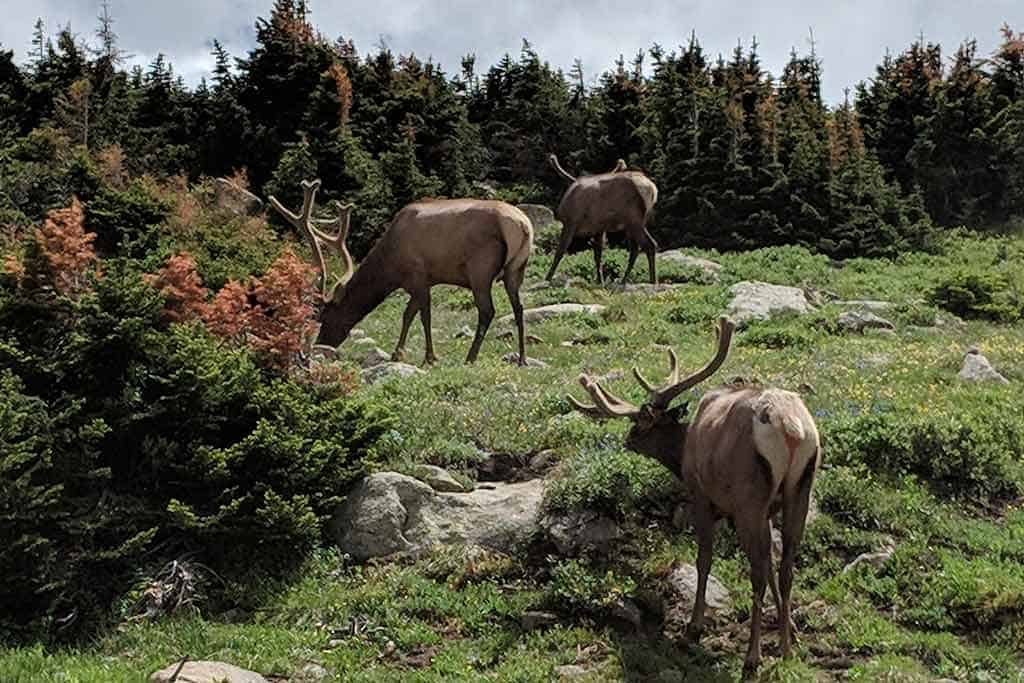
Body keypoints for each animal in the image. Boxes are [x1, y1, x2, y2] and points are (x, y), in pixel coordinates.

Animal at [264, 179, 536, 366]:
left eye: (325, 317)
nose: (322, 346)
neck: (390, 267)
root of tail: (523, 225)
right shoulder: (419, 282)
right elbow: (408, 314)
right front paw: (399, 352)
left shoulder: (418, 276)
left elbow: (423, 315)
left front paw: (429, 356)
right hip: (516, 270)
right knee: (519, 308)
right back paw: (522, 358)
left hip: (480, 269)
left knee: (487, 311)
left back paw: (471, 356)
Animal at [548, 154, 659, 286]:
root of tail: (652, 189)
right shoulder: (599, 229)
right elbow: (598, 254)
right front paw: (600, 281)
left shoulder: (570, 222)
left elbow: (560, 251)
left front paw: (547, 278)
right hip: (634, 223)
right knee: (636, 249)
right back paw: (624, 280)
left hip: (633, 220)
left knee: (649, 245)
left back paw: (652, 280)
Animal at [569, 319, 823, 671]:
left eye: (639, 424)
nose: (627, 440)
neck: (682, 454)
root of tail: (791, 429)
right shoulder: (770, 511)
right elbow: (772, 564)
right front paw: (792, 632)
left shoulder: (702, 496)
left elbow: (705, 559)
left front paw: (693, 628)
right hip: (800, 488)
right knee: (786, 566)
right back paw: (785, 649)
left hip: (749, 497)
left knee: (756, 572)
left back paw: (752, 656)